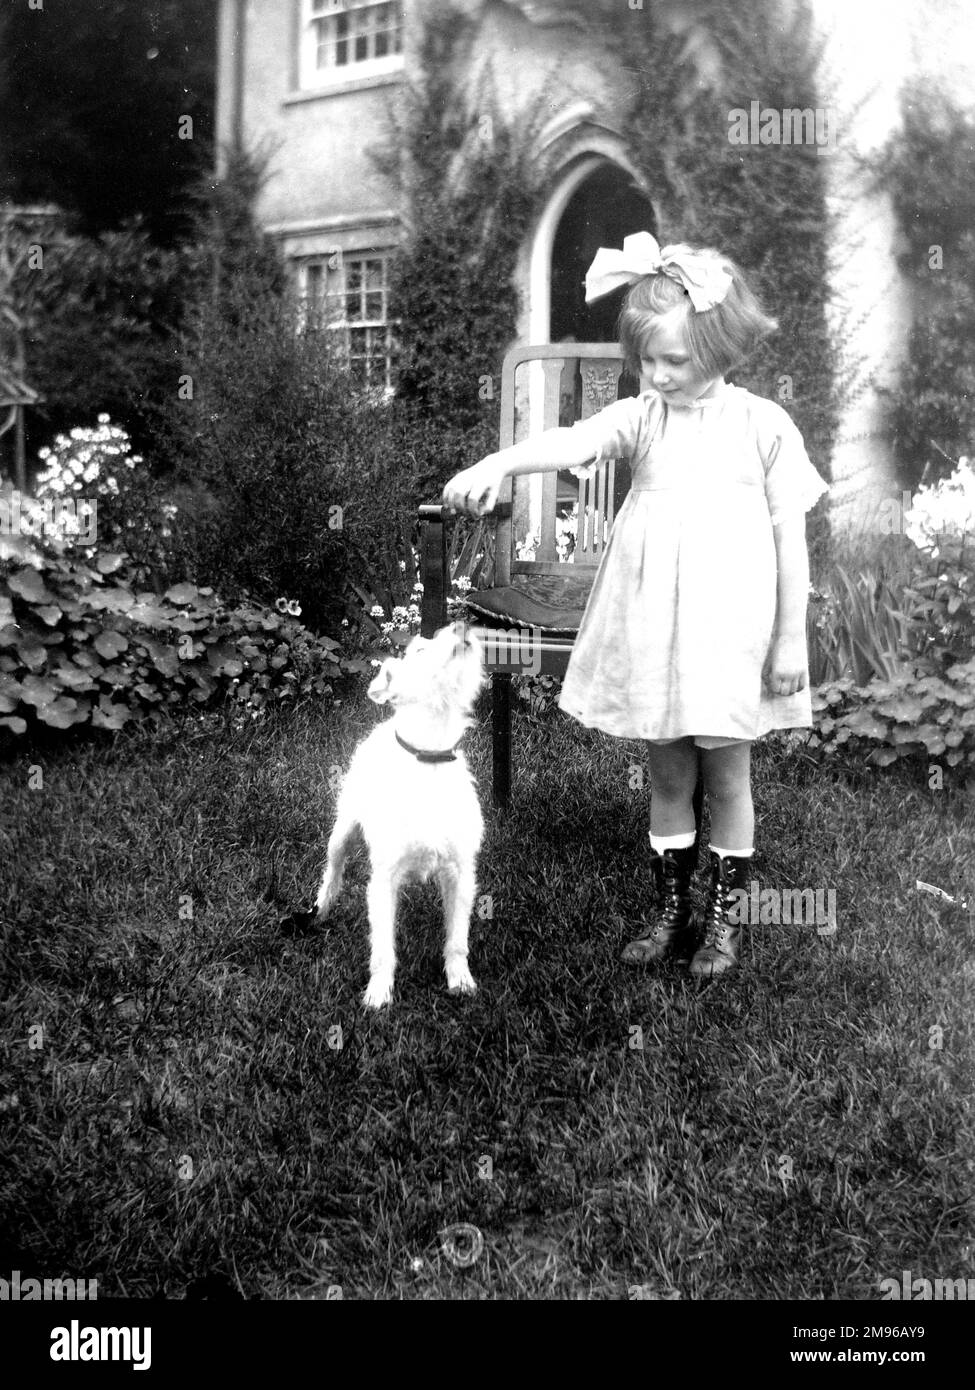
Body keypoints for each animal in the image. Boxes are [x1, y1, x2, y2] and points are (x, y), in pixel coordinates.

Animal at [279, 622, 484, 1011]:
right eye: (419, 650)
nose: (460, 624)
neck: (429, 757)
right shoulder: (383, 880)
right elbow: (383, 947)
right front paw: (379, 993)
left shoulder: (460, 873)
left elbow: (458, 939)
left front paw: (460, 980)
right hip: (341, 832)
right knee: (332, 873)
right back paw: (319, 911)